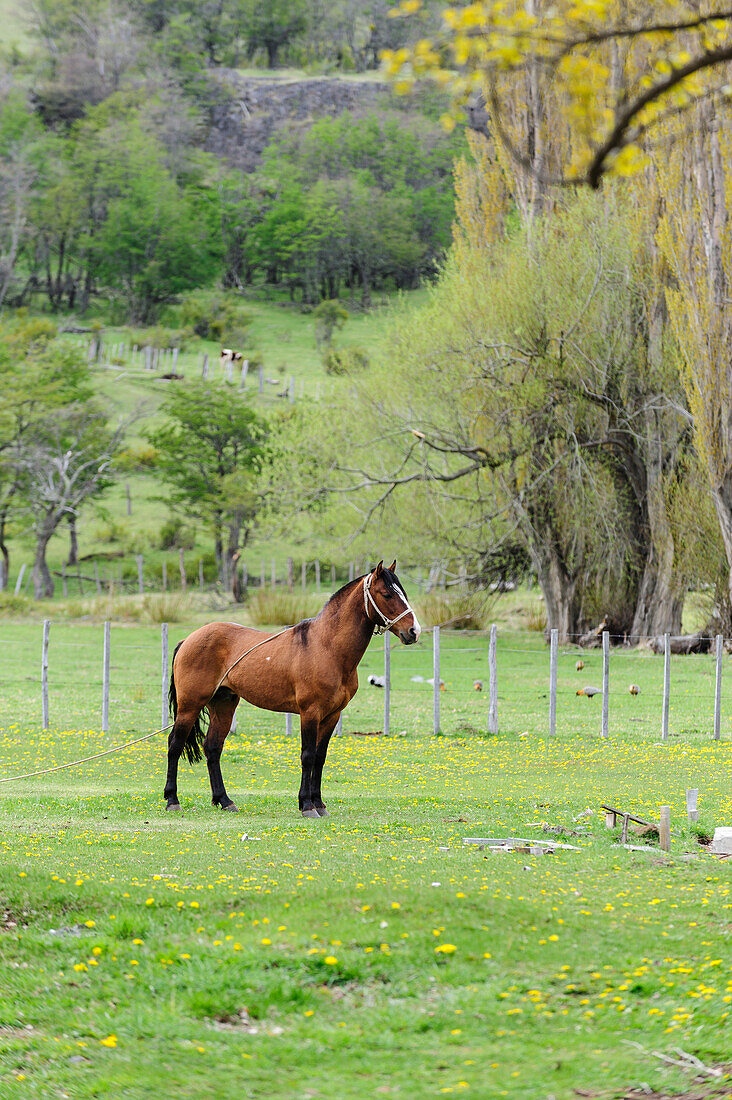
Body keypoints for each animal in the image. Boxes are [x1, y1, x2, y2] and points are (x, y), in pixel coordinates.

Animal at [162, 558, 420, 818]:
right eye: (387, 594)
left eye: (404, 593)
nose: (414, 631)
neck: (327, 647)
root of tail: (189, 639)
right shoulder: (310, 712)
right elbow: (307, 756)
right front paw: (307, 805)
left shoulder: (332, 715)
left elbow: (320, 757)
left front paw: (319, 803)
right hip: (190, 706)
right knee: (174, 745)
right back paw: (172, 799)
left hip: (223, 705)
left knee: (213, 748)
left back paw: (224, 800)